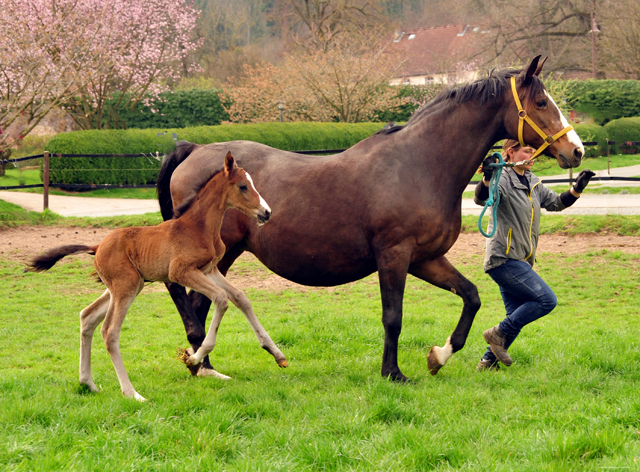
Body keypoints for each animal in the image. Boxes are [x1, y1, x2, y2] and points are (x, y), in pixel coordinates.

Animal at [28, 152, 284, 402]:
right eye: (243, 186)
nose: (266, 212)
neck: (198, 227)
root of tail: (97, 246)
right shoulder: (181, 271)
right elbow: (221, 299)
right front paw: (192, 359)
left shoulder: (209, 270)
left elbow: (240, 297)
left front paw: (277, 354)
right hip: (126, 287)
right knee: (109, 332)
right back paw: (131, 393)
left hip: (125, 286)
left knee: (87, 317)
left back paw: (88, 383)